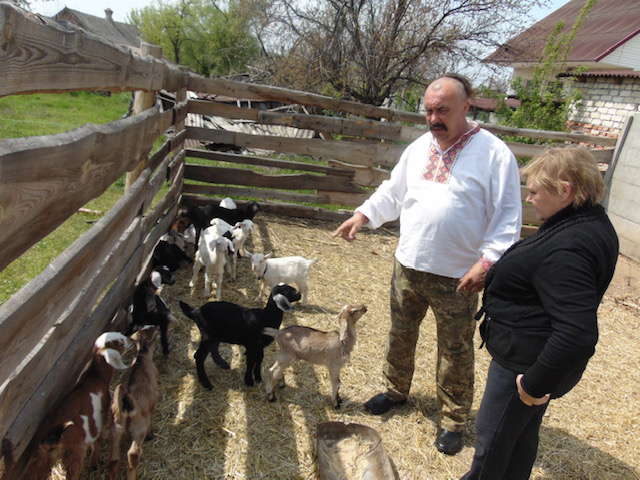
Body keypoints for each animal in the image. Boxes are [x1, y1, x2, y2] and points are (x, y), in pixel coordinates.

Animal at [21, 332, 132, 480]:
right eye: (117, 342)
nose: (131, 340)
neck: (96, 378)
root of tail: (52, 436)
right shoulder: (102, 417)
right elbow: (98, 440)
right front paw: (94, 462)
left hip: (40, 458)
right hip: (74, 452)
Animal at [107, 326, 160, 480]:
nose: (158, 328)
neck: (141, 358)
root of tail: (125, 402)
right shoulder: (152, 402)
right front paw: (150, 434)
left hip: (115, 428)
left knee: (113, 458)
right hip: (138, 428)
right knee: (133, 454)